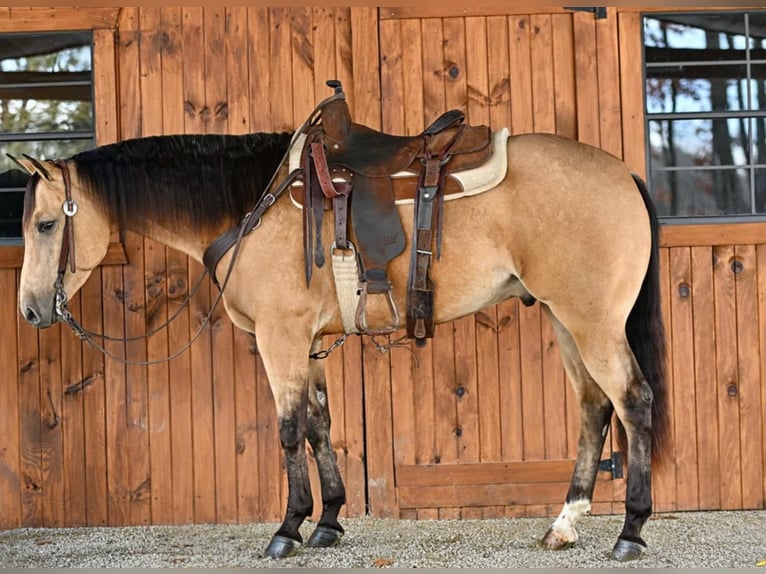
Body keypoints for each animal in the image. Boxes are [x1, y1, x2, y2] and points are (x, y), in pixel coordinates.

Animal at [12, 83, 672, 564]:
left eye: (45, 225)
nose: (31, 310)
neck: (250, 204)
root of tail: (622, 174)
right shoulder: (307, 344)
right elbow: (320, 425)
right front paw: (328, 520)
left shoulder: (279, 338)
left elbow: (287, 429)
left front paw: (287, 529)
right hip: (565, 319)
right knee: (594, 407)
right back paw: (564, 525)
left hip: (591, 321)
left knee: (633, 401)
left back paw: (631, 532)